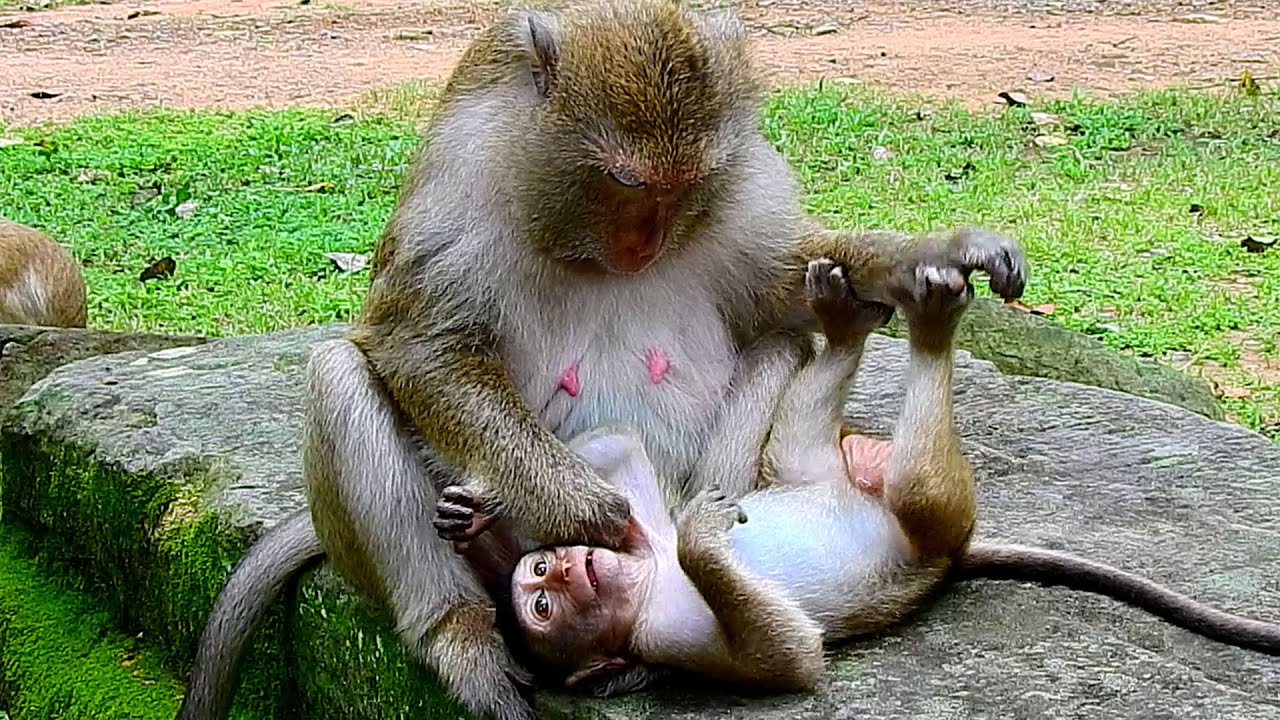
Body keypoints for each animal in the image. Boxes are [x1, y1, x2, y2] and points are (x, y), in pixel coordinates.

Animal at [176, 1, 1027, 718]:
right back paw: (462, 632)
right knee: (339, 375)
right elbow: (423, 346)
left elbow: (784, 285)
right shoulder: (458, 192)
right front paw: (595, 511)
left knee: (780, 345)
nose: (645, 243)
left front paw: (939, 254)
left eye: (685, 185)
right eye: (625, 179)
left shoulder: (739, 192)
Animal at [437, 255, 1280, 697]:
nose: (562, 569)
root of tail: (955, 553)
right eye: (542, 607)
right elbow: (788, 661)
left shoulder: (634, 531)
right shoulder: (660, 639)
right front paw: (703, 545)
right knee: (918, 487)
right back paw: (933, 331)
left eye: (542, 579)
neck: (643, 579)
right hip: (933, 514)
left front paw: (481, 511)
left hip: (816, 470)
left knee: (798, 447)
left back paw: (846, 326)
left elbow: (618, 453)